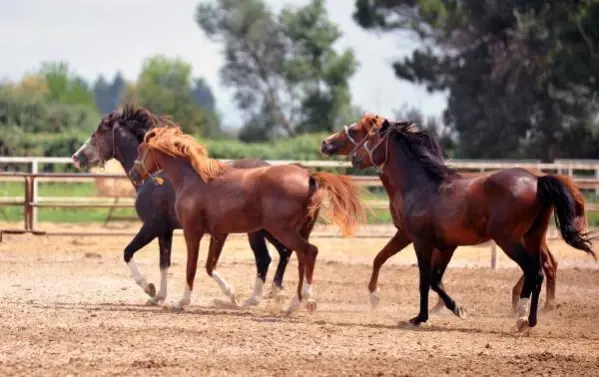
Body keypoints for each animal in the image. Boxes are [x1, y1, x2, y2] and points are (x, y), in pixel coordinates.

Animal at [73, 104, 302, 306]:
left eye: (96, 134)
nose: (76, 157)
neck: (157, 177)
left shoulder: (152, 226)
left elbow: (128, 252)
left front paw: (149, 288)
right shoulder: (165, 230)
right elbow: (164, 263)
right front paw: (159, 297)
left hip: (258, 231)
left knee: (266, 258)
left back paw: (256, 298)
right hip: (269, 229)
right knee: (284, 252)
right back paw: (276, 293)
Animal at [129, 125, 368, 312]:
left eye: (142, 149)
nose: (133, 173)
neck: (193, 179)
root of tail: (309, 176)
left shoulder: (191, 232)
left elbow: (191, 266)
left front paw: (180, 302)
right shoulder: (218, 234)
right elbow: (208, 265)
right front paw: (231, 296)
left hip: (281, 231)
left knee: (307, 252)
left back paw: (303, 300)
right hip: (294, 231)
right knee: (300, 257)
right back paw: (292, 303)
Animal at [322, 113, 592, 330]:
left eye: (359, 131)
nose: (326, 143)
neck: (421, 185)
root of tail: (538, 180)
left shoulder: (420, 241)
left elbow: (424, 280)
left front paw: (419, 317)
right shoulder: (438, 243)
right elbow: (419, 273)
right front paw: (456, 308)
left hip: (509, 240)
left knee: (534, 271)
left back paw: (524, 318)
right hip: (533, 236)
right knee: (539, 271)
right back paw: (527, 318)